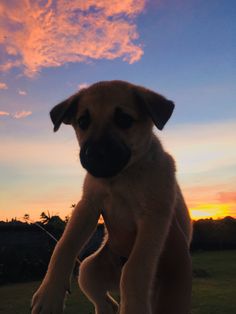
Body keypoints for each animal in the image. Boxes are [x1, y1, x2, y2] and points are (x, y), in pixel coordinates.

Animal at [31, 81, 193, 314]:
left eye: (124, 119)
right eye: (83, 121)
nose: (94, 154)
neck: (119, 178)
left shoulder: (154, 215)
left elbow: (135, 267)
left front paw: (134, 307)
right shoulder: (87, 207)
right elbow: (63, 246)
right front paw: (49, 295)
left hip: (174, 287)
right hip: (88, 269)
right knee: (104, 300)